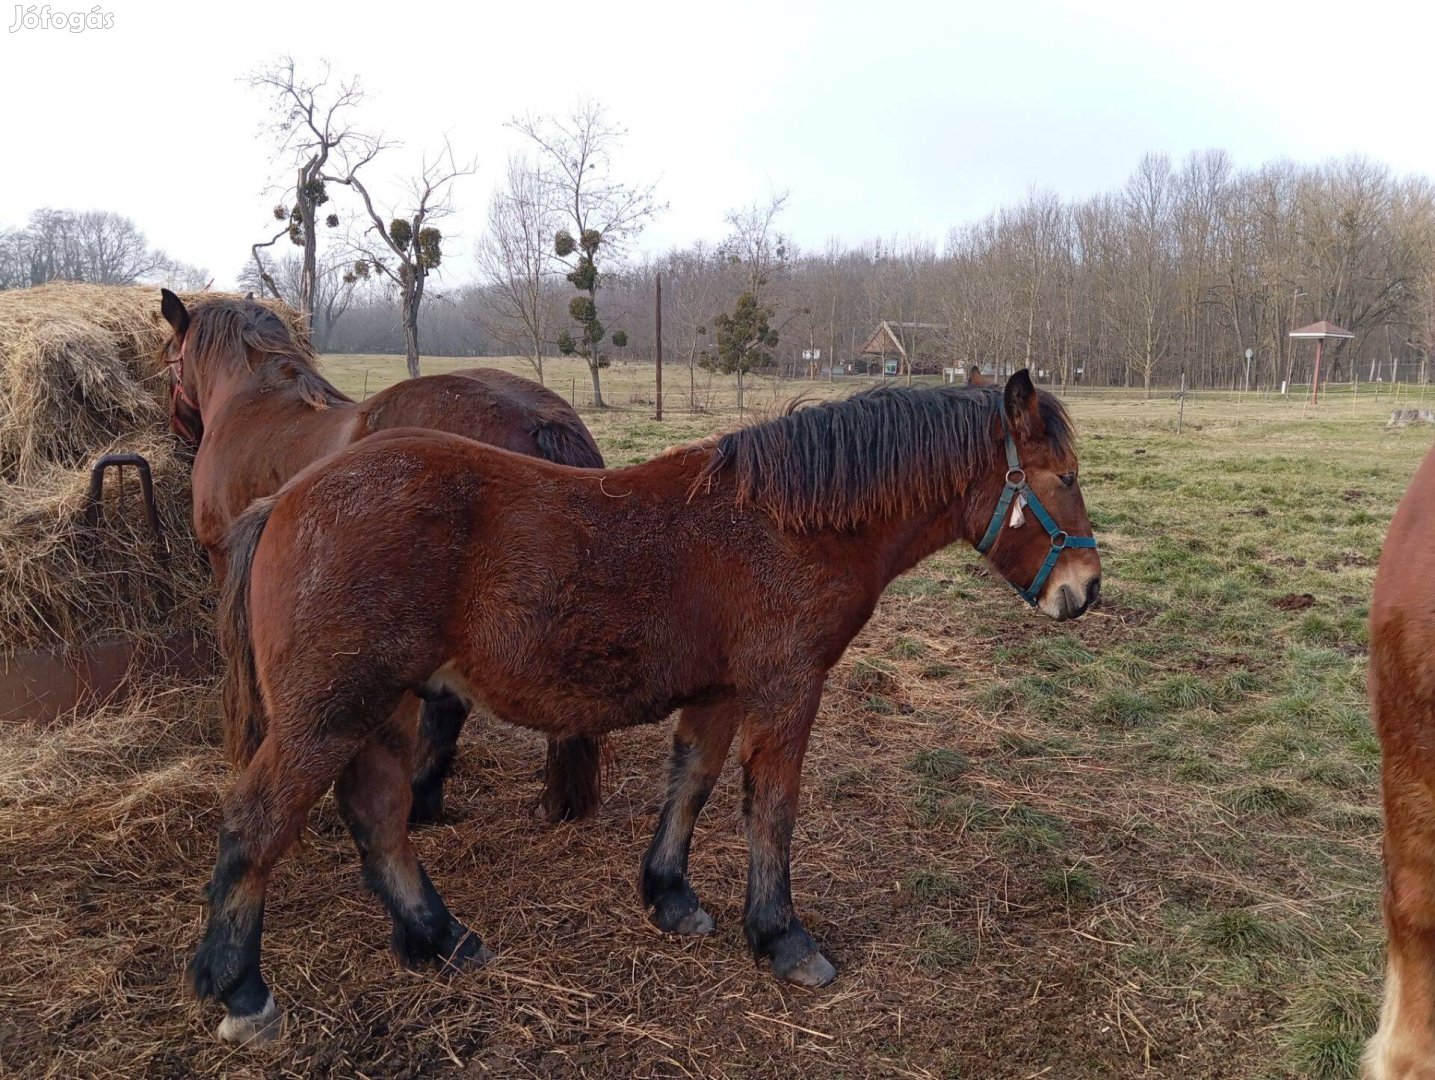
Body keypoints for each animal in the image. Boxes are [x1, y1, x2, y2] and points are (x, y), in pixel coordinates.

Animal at [157, 291, 605, 820]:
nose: (178, 430)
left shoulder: (229, 564)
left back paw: (421, 796)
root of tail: (538, 419)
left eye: (169, 358)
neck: (250, 403)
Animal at [190, 370, 1102, 1038]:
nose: (1085, 591)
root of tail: (285, 502)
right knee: (258, 821)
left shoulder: (720, 694)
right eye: (1061, 478)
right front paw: (781, 937)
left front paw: (669, 895)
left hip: (381, 708)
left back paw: (437, 939)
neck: (784, 526)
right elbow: (770, 810)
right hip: (329, 713)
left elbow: (690, 785)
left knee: (378, 818)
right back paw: (241, 990)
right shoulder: (784, 690)